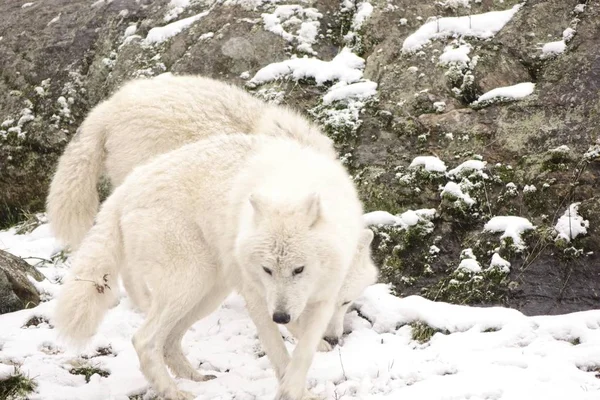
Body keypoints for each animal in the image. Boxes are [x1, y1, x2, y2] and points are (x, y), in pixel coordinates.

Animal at [55, 134, 366, 400]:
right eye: (267, 270)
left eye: (299, 270)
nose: (280, 316)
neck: (289, 185)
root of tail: (125, 187)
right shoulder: (257, 298)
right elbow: (279, 351)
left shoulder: (322, 300)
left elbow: (303, 353)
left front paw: (297, 388)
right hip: (190, 284)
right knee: (144, 340)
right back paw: (174, 392)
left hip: (208, 295)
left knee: (169, 342)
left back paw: (196, 378)